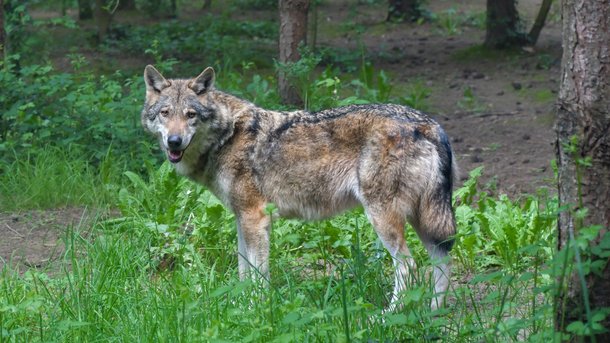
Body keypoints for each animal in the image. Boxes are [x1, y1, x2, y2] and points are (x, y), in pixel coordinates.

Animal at [142, 66, 456, 310]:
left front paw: (256, 309)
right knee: (442, 261)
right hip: (424, 220)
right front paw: (238, 307)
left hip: (384, 218)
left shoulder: (255, 219)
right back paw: (433, 313)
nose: (174, 141)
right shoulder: (242, 219)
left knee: (409, 267)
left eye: (191, 115)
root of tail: (431, 125)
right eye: (165, 113)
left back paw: (386, 317)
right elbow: (244, 272)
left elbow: (258, 275)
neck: (227, 136)